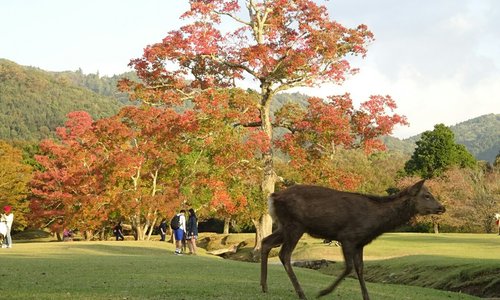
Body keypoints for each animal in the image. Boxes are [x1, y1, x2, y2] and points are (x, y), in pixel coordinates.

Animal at [262, 179, 446, 298]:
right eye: (427, 195)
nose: (442, 207)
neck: (376, 223)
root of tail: (272, 197)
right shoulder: (348, 237)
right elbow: (349, 267)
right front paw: (324, 292)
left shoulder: (360, 243)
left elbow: (360, 268)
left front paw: (367, 297)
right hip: (295, 225)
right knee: (284, 254)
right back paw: (301, 293)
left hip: (284, 226)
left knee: (265, 242)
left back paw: (264, 286)